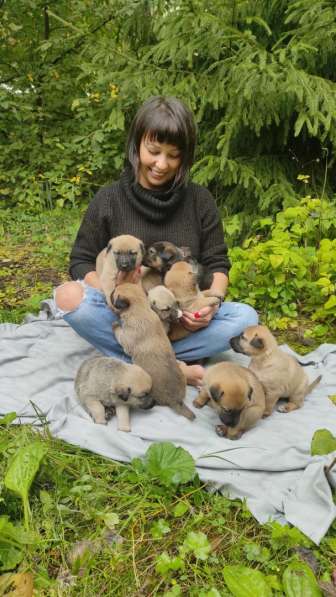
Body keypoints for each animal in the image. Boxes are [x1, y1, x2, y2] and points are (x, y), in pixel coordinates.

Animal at [111, 282, 194, 420]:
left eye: (114, 293)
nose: (110, 291)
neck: (140, 307)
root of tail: (177, 401)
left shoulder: (126, 339)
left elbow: (119, 332)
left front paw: (115, 324)